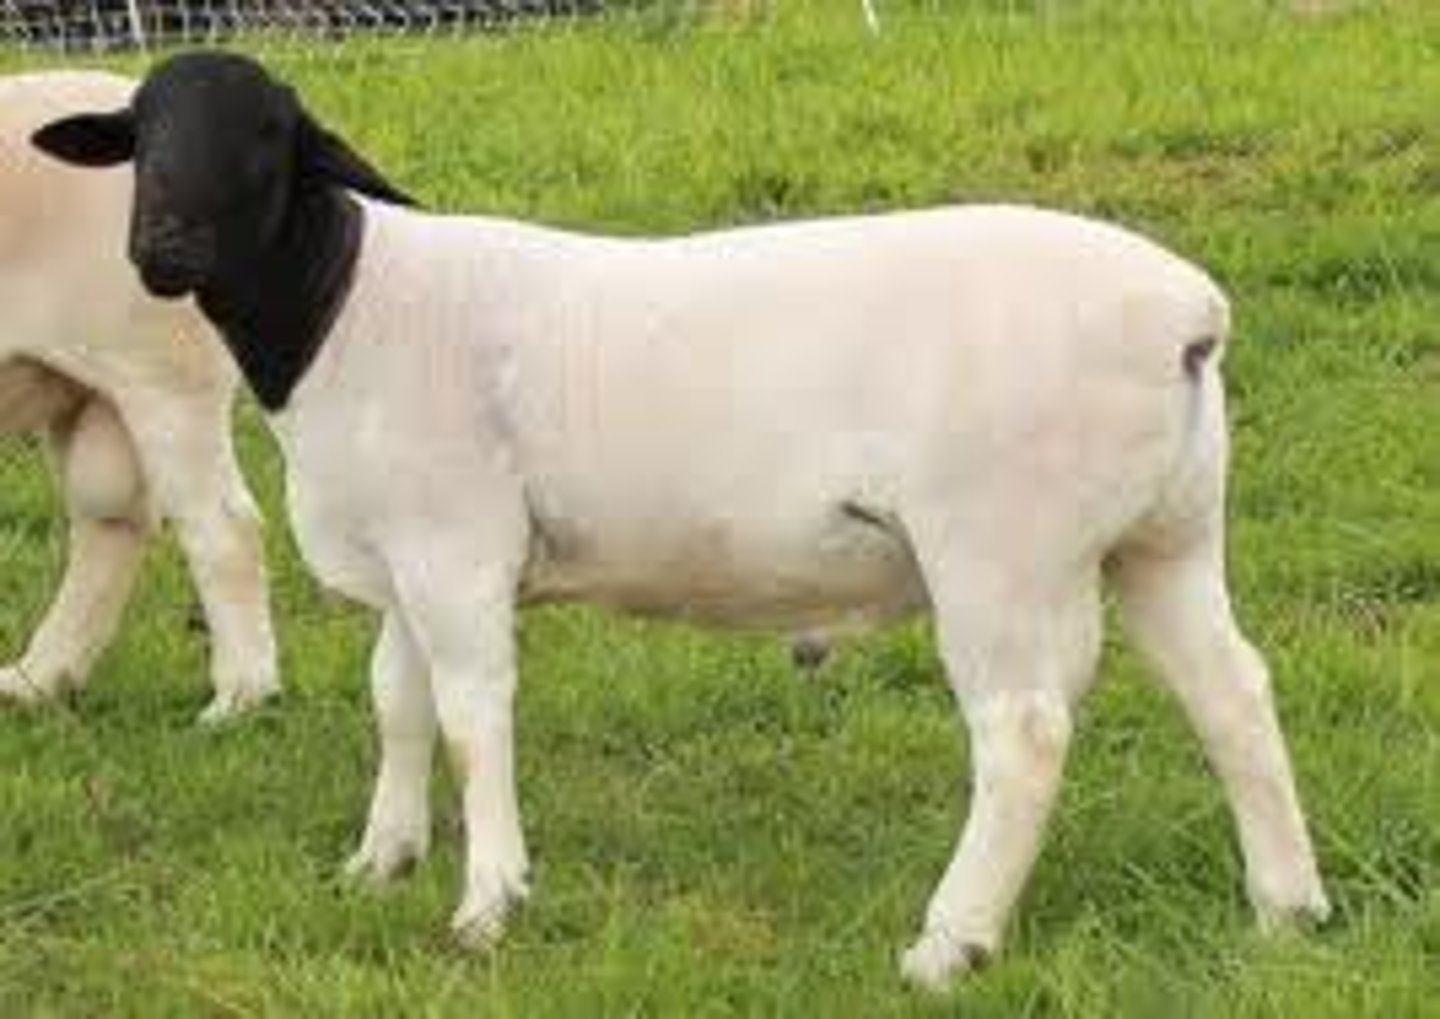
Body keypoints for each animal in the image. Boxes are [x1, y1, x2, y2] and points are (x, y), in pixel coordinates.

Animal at [1, 70, 279, 723]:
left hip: (165, 375)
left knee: (225, 528)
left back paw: (238, 700)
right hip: (93, 385)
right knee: (110, 521)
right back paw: (37, 680)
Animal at [32, 51, 1330, 988]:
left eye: (267, 136)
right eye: (140, 134)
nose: (160, 249)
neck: (348, 300)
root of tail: (1186, 312)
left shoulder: (457, 546)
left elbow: (471, 717)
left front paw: (488, 901)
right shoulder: (406, 549)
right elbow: (398, 706)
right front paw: (379, 861)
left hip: (997, 547)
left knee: (1024, 733)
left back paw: (947, 942)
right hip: (1163, 533)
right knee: (1234, 692)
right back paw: (1287, 908)